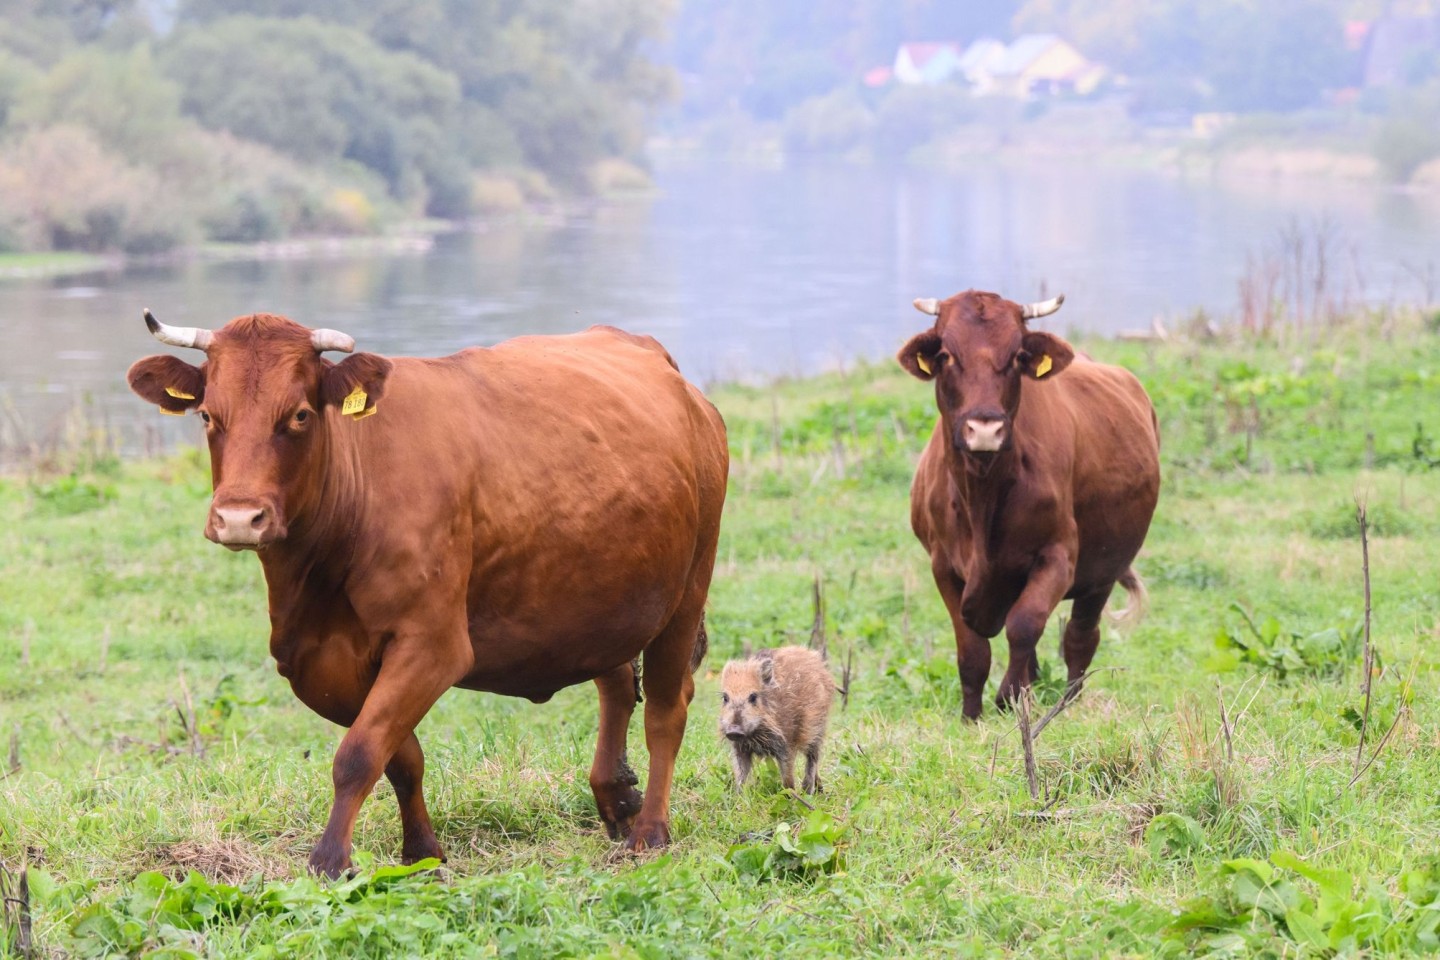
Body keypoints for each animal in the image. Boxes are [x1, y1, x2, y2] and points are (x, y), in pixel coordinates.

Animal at [125, 312, 731, 875]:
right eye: (209, 415)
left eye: (298, 414)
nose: (238, 518)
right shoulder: (317, 659)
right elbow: (400, 757)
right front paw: (422, 852)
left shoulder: (433, 644)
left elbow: (358, 753)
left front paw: (330, 860)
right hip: (602, 598)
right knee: (617, 681)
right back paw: (616, 794)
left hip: (688, 589)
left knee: (667, 708)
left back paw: (650, 830)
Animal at [898, 290, 1157, 719]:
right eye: (947, 354)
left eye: (1018, 354)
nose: (985, 428)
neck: (982, 496)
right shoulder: (942, 564)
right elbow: (972, 648)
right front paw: (971, 715)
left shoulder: (1058, 555)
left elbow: (1024, 625)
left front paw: (1009, 697)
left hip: (1104, 568)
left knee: (1080, 636)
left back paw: (1068, 701)